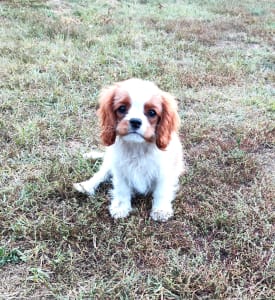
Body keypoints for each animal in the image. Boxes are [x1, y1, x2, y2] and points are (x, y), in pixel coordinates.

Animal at [73, 78, 187, 221]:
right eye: (122, 108)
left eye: (152, 113)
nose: (135, 121)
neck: (137, 147)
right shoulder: (119, 169)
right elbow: (122, 189)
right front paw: (121, 207)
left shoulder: (165, 172)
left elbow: (162, 191)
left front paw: (161, 210)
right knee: (101, 174)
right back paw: (86, 186)